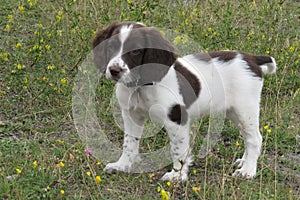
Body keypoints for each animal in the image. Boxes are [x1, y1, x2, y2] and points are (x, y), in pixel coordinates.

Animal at [92, 21, 276, 181]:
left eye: (135, 51)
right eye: (111, 47)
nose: (113, 70)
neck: (141, 87)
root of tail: (252, 59)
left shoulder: (176, 118)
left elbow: (178, 149)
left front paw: (177, 175)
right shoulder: (131, 116)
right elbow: (129, 143)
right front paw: (122, 166)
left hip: (245, 109)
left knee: (254, 138)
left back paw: (247, 171)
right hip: (233, 111)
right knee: (247, 137)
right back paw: (244, 162)